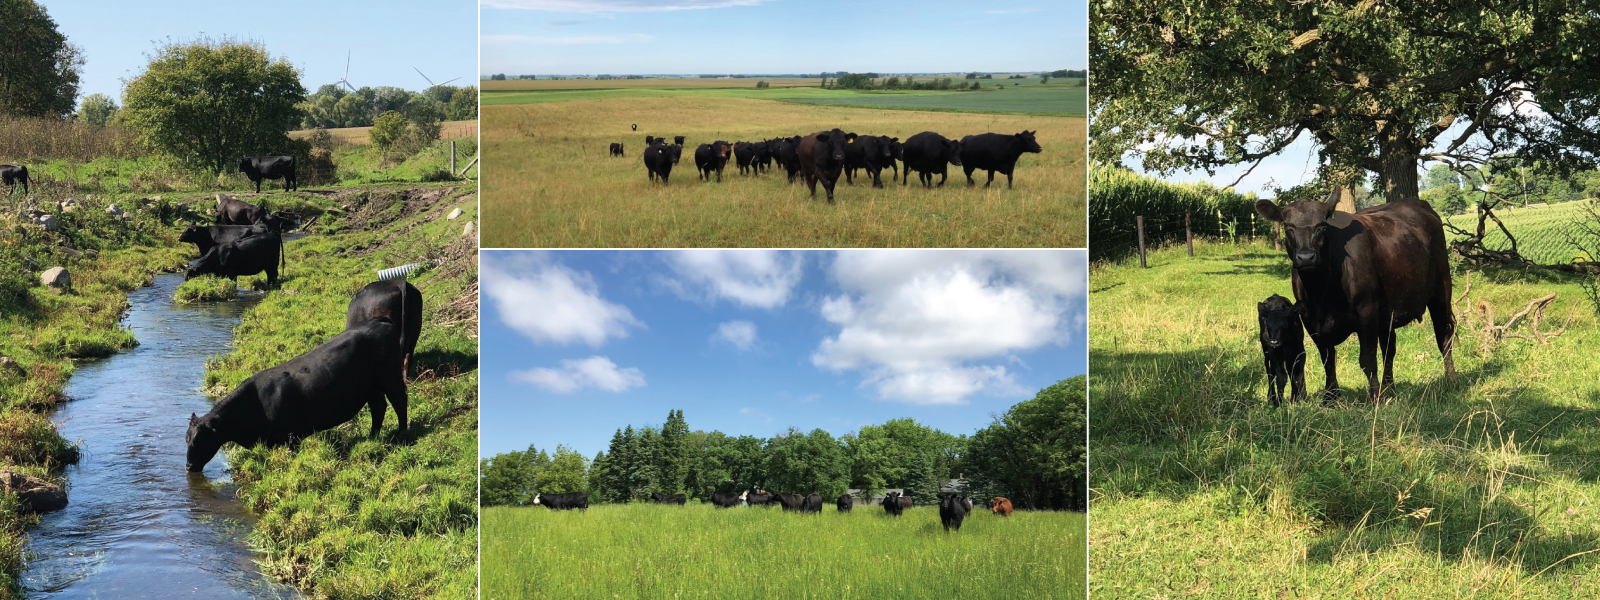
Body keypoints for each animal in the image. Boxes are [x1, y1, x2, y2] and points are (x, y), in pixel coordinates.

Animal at [1254, 187, 1459, 404]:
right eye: (1288, 227)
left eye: (1322, 225)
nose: (1306, 257)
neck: (1321, 293)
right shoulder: (1309, 320)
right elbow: (1327, 359)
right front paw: (1330, 398)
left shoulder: (1366, 312)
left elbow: (1367, 359)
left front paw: (1375, 397)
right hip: (1386, 314)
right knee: (1389, 349)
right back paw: (1390, 389)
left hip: (1441, 291)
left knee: (1444, 336)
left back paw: (1451, 380)